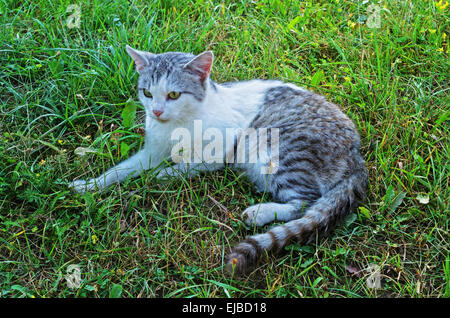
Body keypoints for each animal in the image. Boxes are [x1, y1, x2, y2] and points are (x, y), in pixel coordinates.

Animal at [69, 45, 366, 276]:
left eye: (174, 95)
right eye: (147, 93)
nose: (156, 112)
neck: (178, 125)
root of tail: (355, 152)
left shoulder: (218, 153)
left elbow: (179, 168)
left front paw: (159, 176)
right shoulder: (151, 152)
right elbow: (120, 170)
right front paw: (89, 186)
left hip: (276, 153)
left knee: (304, 202)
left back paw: (260, 212)